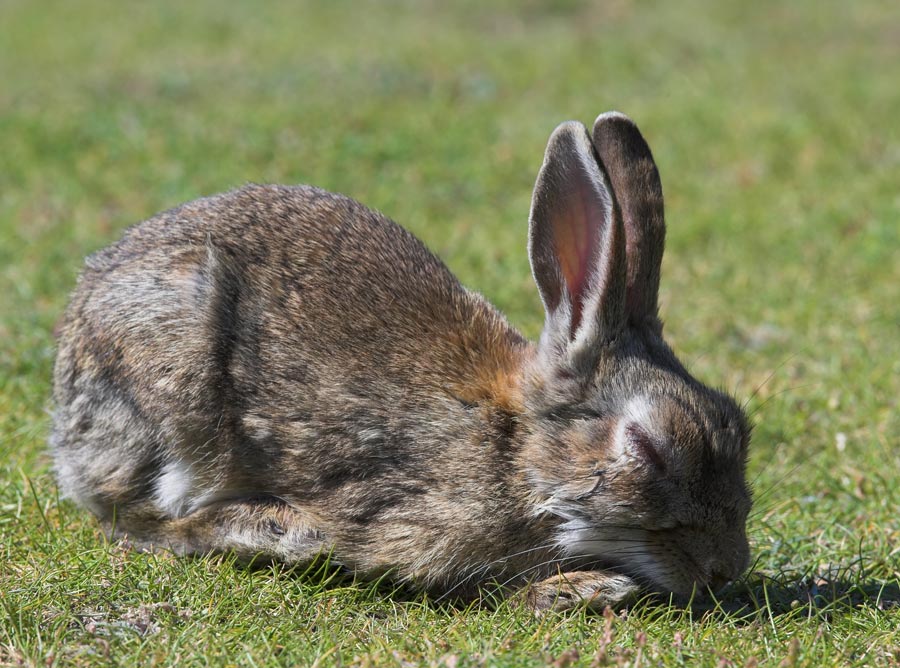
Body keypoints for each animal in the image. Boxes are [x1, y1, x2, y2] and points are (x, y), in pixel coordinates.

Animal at [51, 112, 752, 611]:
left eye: (739, 425)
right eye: (650, 449)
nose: (727, 569)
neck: (513, 448)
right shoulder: (407, 522)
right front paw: (582, 589)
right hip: (176, 378)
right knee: (139, 518)